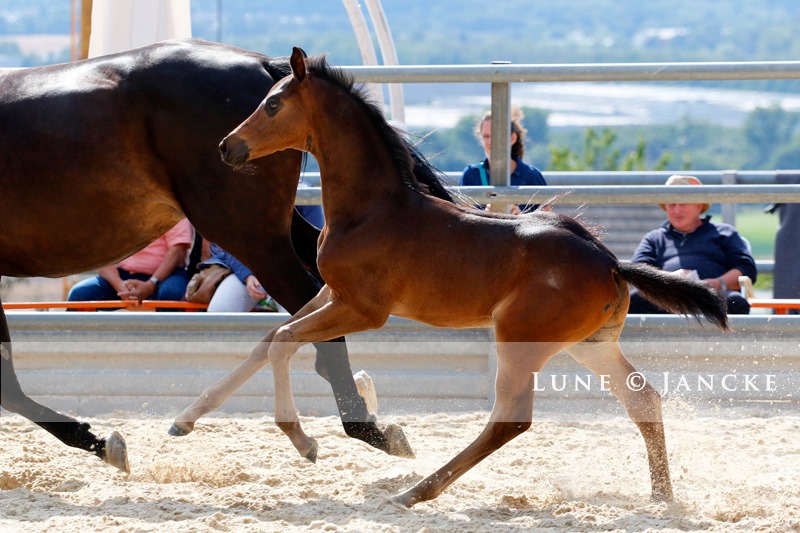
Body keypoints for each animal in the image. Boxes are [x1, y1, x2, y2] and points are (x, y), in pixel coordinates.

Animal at [216, 48, 728, 508]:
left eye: (273, 104)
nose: (227, 146)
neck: (372, 210)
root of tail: (609, 262)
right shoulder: (332, 294)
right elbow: (274, 337)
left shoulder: (362, 309)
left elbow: (284, 341)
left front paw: (305, 442)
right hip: (592, 345)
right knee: (643, 401)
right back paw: (661, 496)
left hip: (519, 341)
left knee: (509, 420)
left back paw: (414, 492)